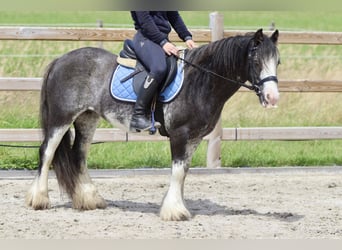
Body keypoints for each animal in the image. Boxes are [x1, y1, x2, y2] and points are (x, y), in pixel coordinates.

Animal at [25, 28, 280, 221]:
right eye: (256, 61)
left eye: (277, 61)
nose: (272, 98)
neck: (200, 81)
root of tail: (60, 60)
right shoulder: (180, 135)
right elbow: (177, 172)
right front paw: (175, 211)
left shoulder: (194, 138)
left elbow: (184, 172)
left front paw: (176, 205)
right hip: (61, 118)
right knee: (46, 152)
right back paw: (39, 199)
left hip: (87, 117)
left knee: (79, 154)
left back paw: (90, 199)